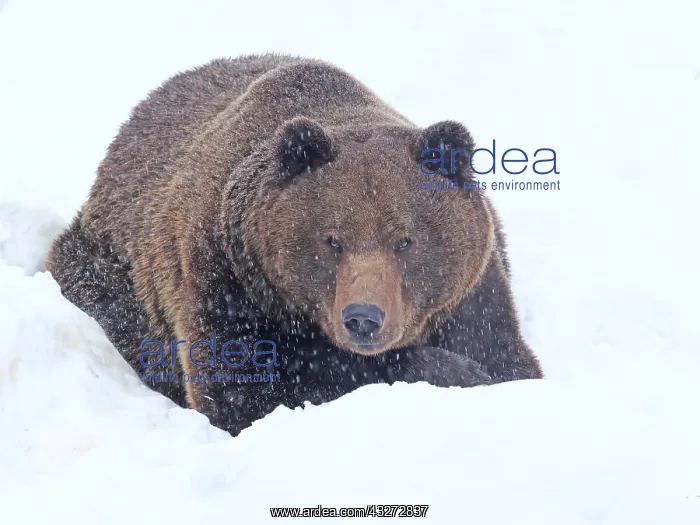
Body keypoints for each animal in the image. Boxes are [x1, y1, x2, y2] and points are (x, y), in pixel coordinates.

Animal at [45, 54, 542, 436]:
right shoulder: (225, 281)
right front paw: (451, 372)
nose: (363, 318)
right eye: (333, 239)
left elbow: (508, 360)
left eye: (404, 239)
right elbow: (248, 392)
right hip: (116, 272)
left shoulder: (472, 295)